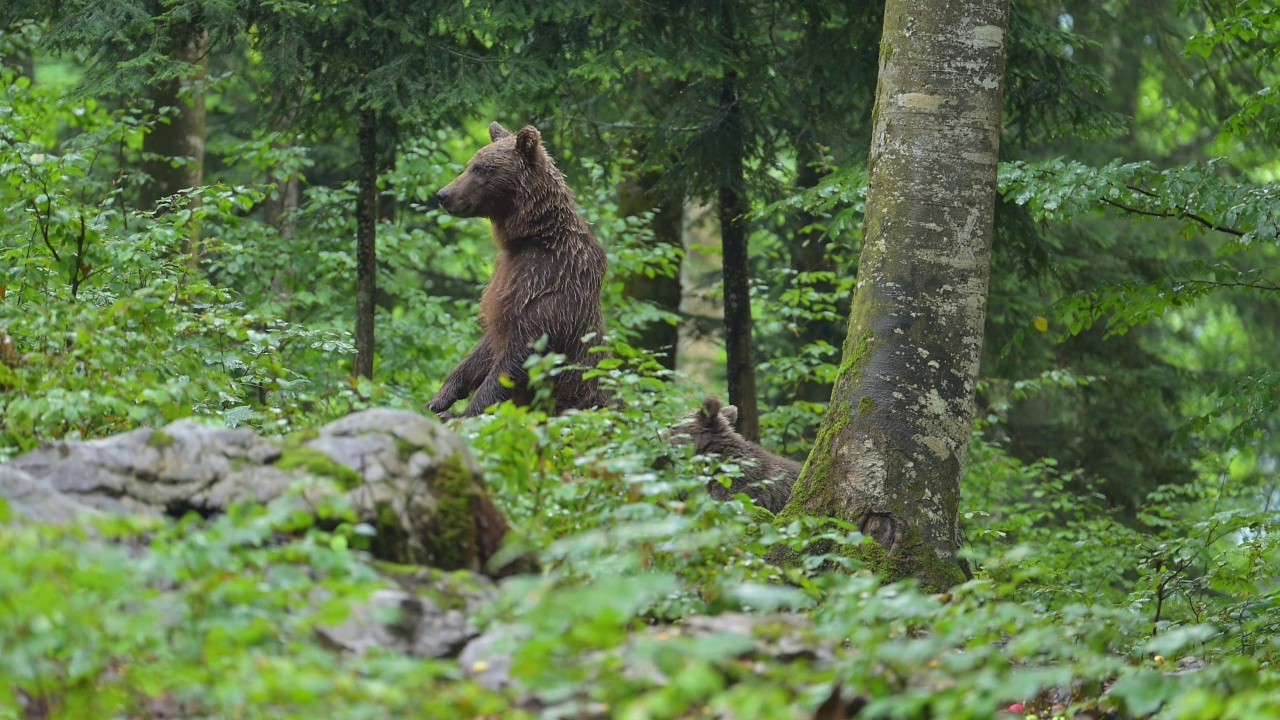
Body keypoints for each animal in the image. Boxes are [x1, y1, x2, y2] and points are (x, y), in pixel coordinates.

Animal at [427, 121, 611, 417]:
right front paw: (441, 397)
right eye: (471, 164)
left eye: (481, 169)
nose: (444, 195)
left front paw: (463, 412)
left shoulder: (546, 285)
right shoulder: (504, 282)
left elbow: (517, 358)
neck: (532, 238)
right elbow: (485, 347)